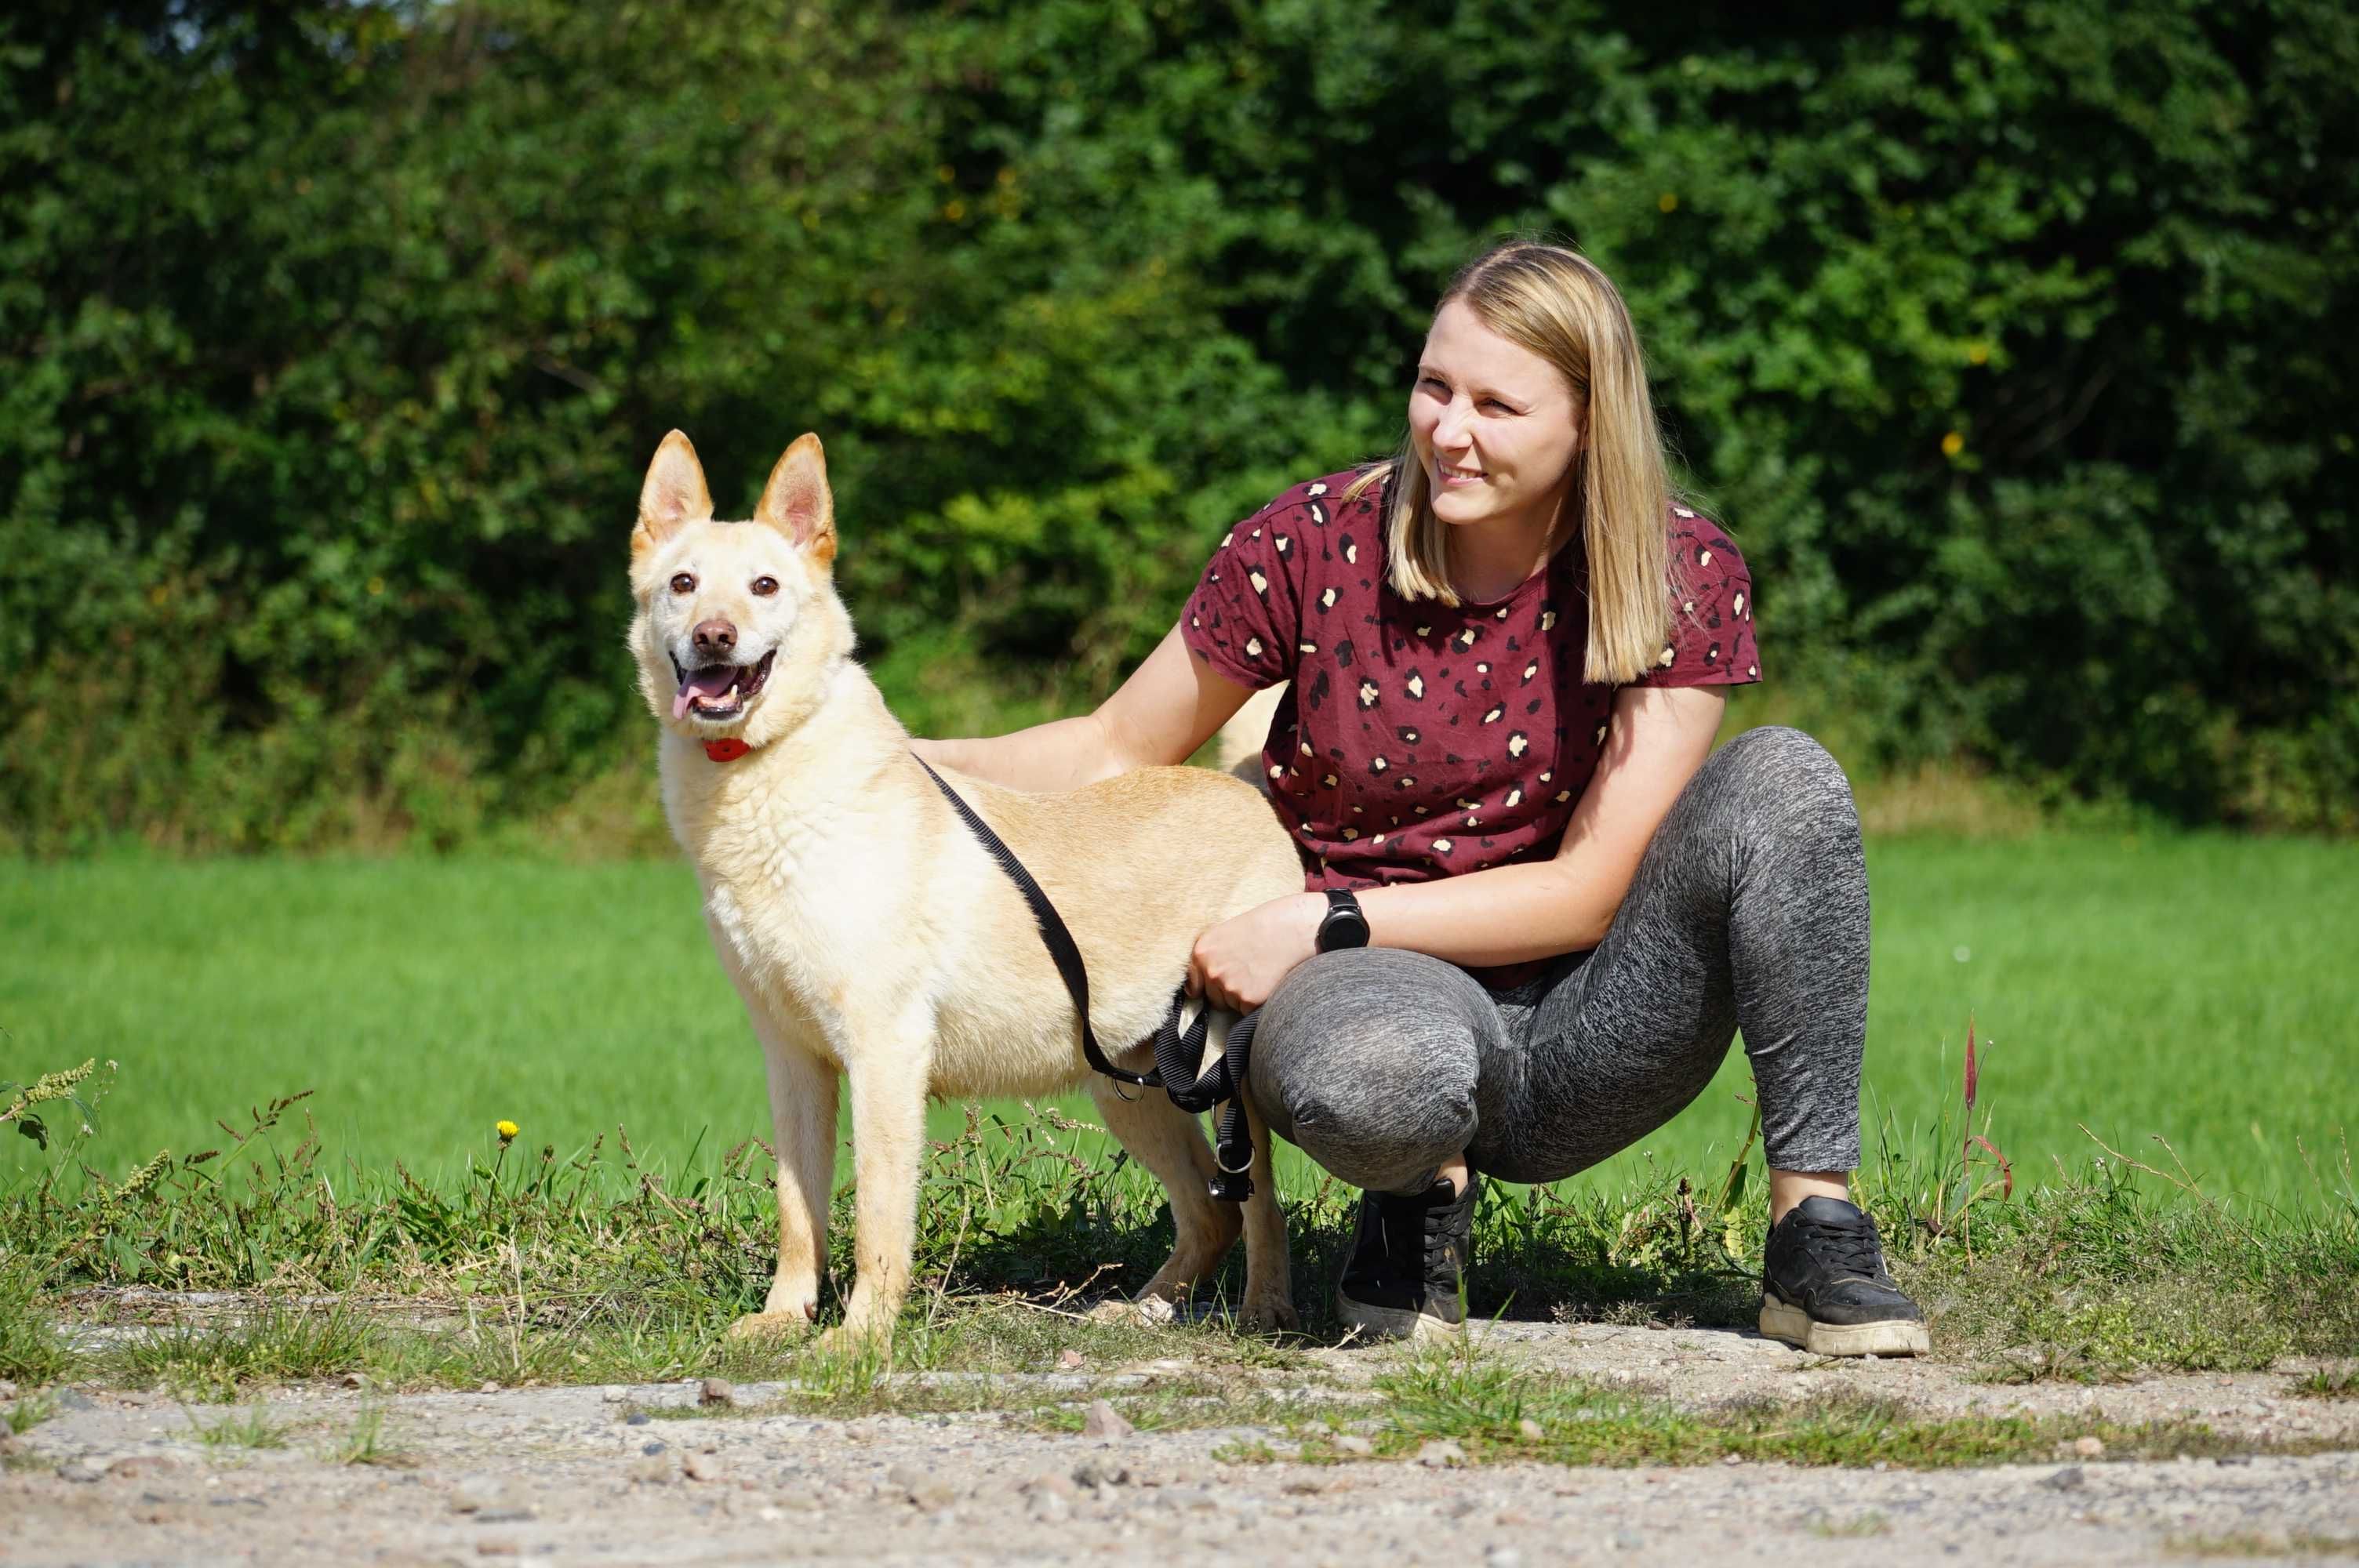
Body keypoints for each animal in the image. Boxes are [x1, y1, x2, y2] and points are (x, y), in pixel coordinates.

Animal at [632, 434, 1311, 1339]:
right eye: (682, 583)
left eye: (764, 586)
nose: (714, 636)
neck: (766, 783)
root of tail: (1248, 794)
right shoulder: (793, 1059)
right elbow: (797, 1208)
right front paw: (782, 1320)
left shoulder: (885, 1053)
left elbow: (877, 1218)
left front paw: (859, 1339)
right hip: (1126, 1086)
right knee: (1211, 1211)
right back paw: (1143, 1310)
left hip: (1223, 1076)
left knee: (1259, 1205)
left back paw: (1264, 1310)